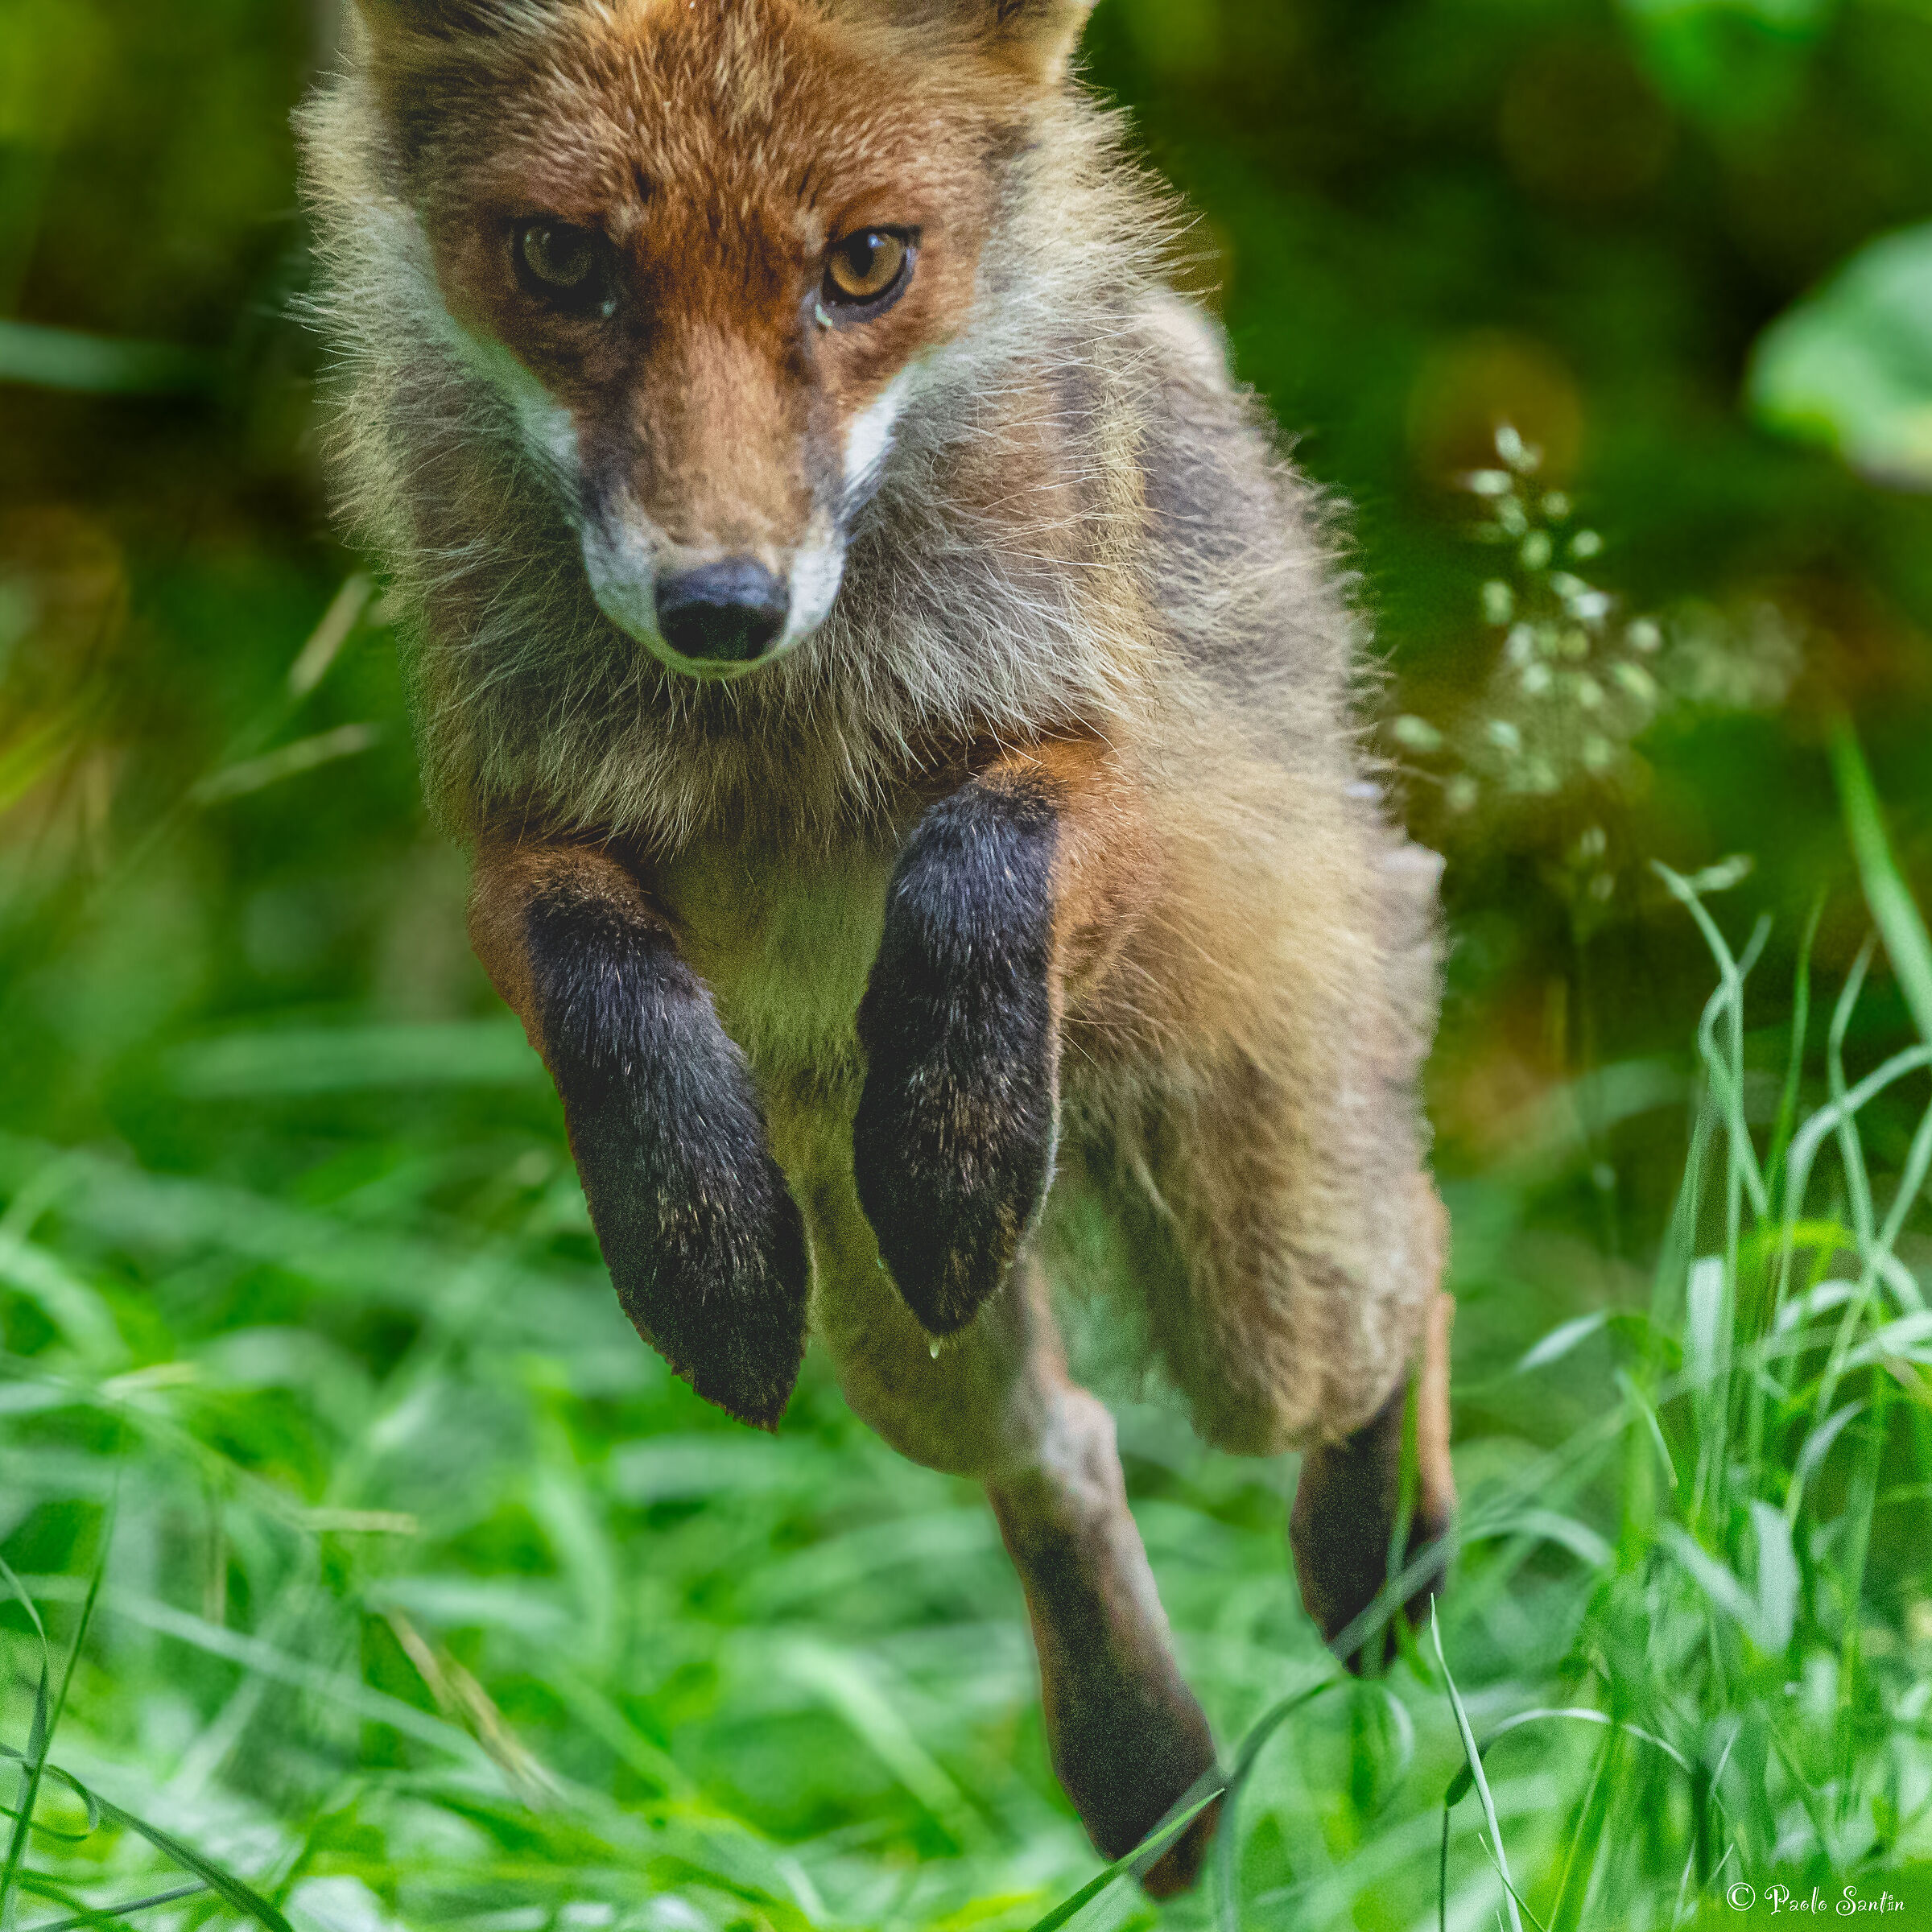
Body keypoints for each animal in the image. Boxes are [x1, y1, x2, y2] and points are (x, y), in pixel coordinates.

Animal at [299, 0, 1456, 1893]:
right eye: (562, 260)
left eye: (864, 266)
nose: (721, 607)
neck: (773, 737)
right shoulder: (516, 831)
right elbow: (604, 992)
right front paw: (695, 1242)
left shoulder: (1110, 776)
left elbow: (976, 865)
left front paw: (962, 1121)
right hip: (902, 1337)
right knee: (1056, 1445)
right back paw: (1153, 1779)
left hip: (1262, 1278)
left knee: (1398, 1262)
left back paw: (1377, 1562)